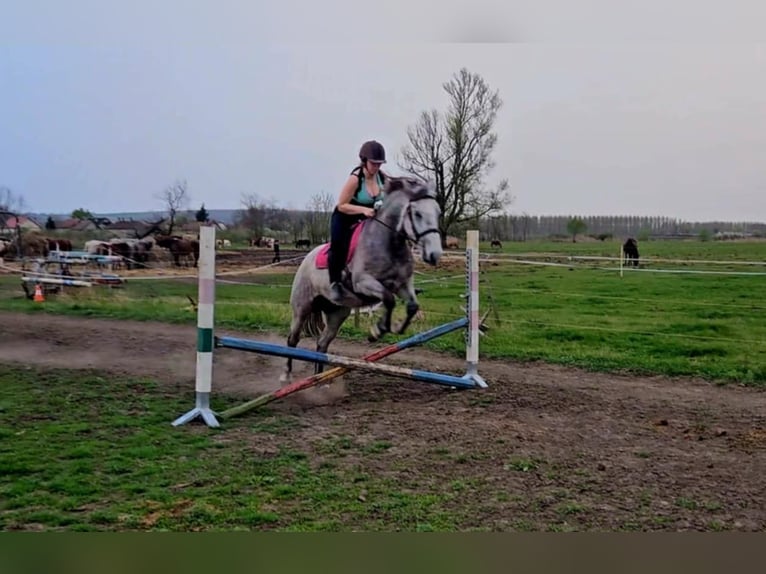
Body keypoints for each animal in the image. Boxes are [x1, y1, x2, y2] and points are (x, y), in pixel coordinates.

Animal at [284, 178, 444, 384]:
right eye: (417, 214)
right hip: (302, 308)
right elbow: (388, 299)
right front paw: (378, 330)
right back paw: (286, 376)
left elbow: (411, 306)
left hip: (337, 312)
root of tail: (306, 258)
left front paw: (396, 328)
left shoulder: (402, 285)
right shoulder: (364, 283)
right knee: (293, 339)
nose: (434, 254)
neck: (389, 242)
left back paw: (319, 381)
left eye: (438, 212)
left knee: (322, 343)